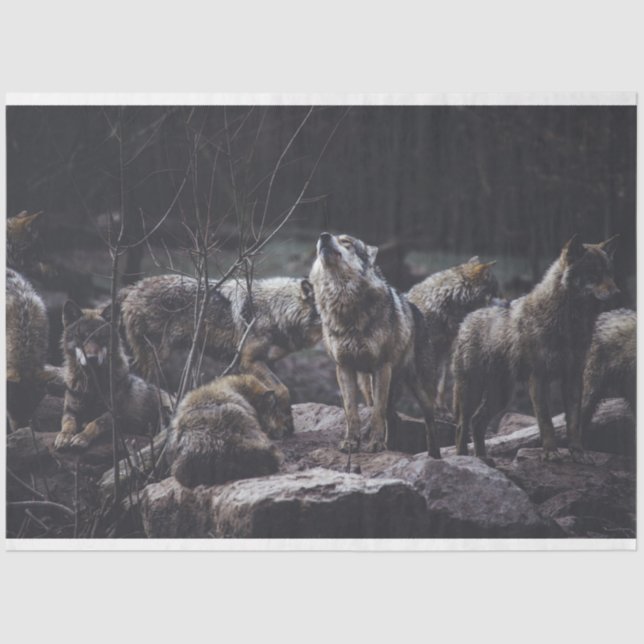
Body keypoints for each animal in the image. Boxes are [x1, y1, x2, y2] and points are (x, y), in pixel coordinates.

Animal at [54, 300, 171, 450]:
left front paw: (82, 437)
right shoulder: (70, 410)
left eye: (101, 338)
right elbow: (68, 424)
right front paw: (64, 436)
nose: (91, 358)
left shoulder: (115, 414)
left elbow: (96, 423)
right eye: (82, 338)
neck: (93, 385)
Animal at [119, 274, 321, 403]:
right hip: (157, 357)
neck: (276, 310)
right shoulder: (249, 361)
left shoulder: (264, 363)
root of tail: (133, 287)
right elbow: (283, 389)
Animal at [309, 232, 440, 457]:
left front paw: (376, 445)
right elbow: (351, 412)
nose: (324, 236)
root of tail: (416, 309)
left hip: (419, 388)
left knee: (429, 422)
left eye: (346, 242)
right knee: (393, 417)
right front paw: (351, 443)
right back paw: (391, 446)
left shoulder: (381, 367)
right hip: (369, 385)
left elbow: (377, 413)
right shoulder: (343, 368)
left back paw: (433, 456)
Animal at [407, 256, 499, 407]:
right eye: (494, 293)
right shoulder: (430, 350)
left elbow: (441, 383)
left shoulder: (444, 350)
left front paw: (440, 405)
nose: (506, 303)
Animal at [452, 234, 619, 459]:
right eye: (593, 273)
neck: (569, 323)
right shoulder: (538, 378)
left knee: (477, 422)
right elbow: (546, 422)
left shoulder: (573, 377)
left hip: (501, 396)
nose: (617, 293)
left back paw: (484, 460)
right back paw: (464, 458)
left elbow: (574, 423)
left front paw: (578, 453)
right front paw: (551, 453)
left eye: (610, 273)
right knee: (462, 426)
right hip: (472, 391)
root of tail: (468, 318)